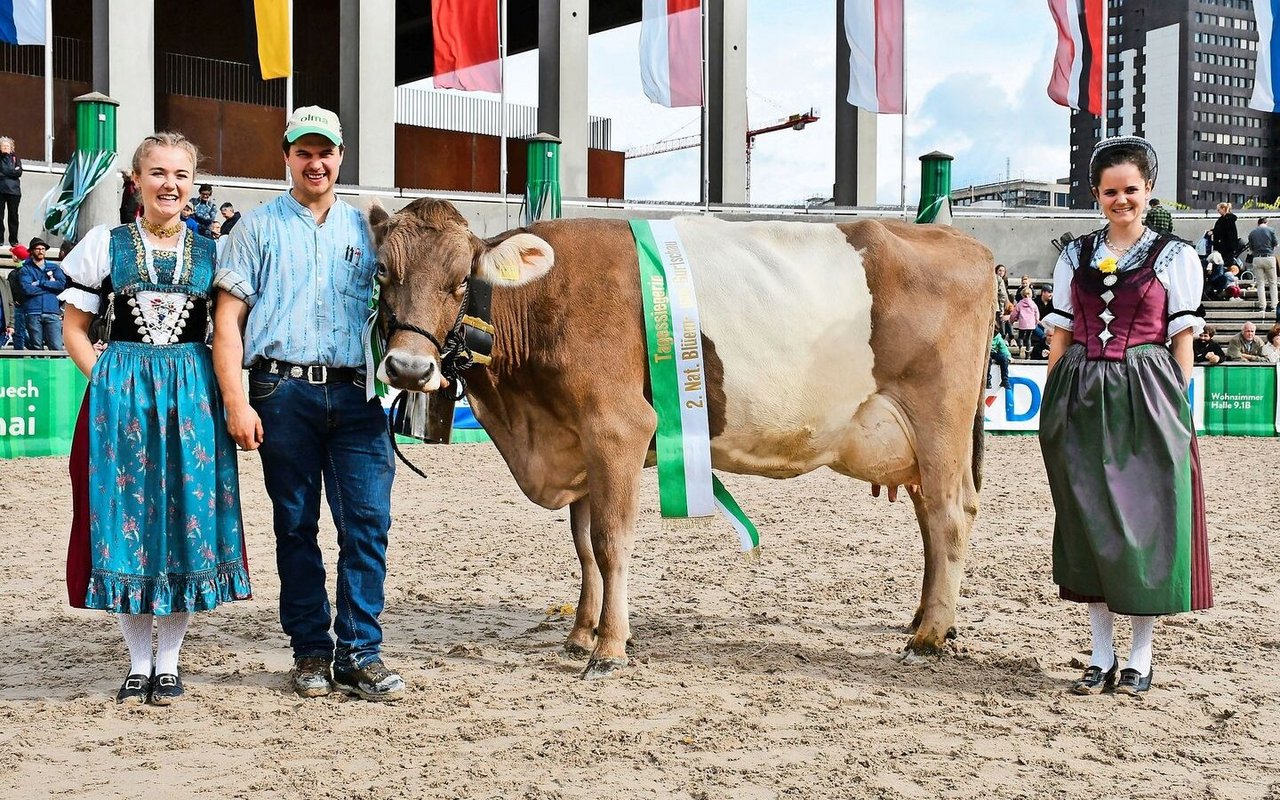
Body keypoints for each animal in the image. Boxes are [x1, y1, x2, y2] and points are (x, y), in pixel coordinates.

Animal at [366, 200, 993, 680]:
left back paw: (928, 637)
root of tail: (964, 241)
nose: (408, 368)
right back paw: (925, 619)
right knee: (931, 521)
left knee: (950, 514)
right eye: (381, 273)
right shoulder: (578, 440)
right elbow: (584, 545)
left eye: (459, 281)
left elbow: (612, 542)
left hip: (939, 422)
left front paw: (608, 649)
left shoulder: (616, 426)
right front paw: (580, 631)